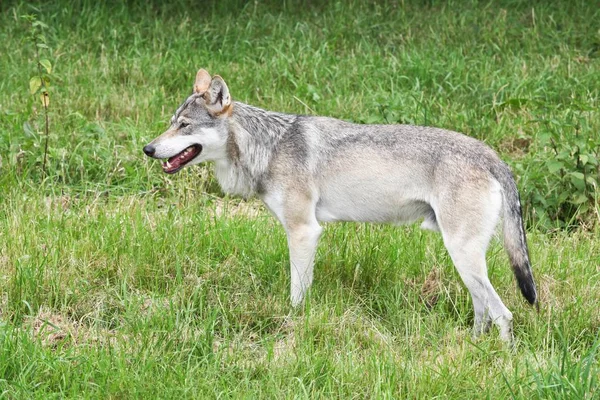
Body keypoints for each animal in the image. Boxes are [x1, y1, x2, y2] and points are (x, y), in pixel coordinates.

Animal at [143, 69, 536, 344]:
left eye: (184, 126)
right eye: (170, 123)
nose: (147, 149)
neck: (268, 146)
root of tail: (493, 156)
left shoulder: (304, 232)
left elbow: (297, 294)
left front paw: (293, 325)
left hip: (463, 256)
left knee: (504, 314)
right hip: (465, 263)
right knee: (483, 311)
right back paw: (471, 347)